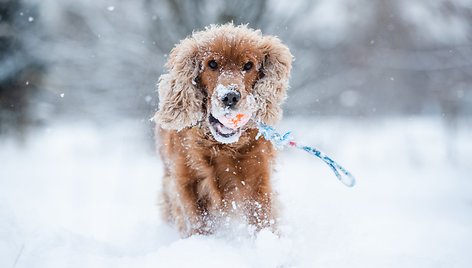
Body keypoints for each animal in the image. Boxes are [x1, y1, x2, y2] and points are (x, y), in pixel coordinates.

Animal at [155, 23, 292, 237]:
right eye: (212, 64)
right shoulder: (186, 182)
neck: (220, 146)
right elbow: (196, 222)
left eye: (248, 66)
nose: (230, 97)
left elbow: (262, 218)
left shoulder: (258, 179)